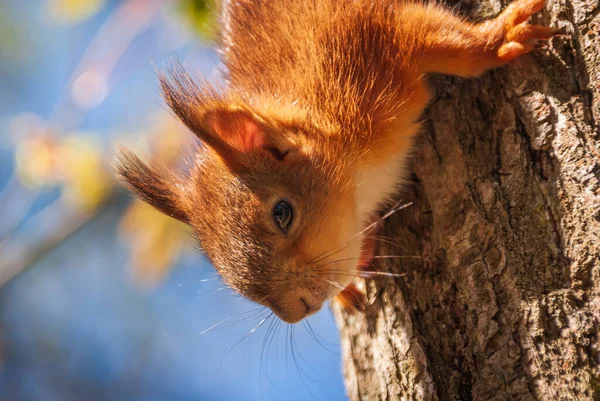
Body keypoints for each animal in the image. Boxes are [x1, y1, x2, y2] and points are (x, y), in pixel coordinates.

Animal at [116, 0, 564, 322]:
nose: (298, 311)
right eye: (216, 265)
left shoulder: (366, 42)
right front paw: (351, 283)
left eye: (282, 212)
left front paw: (498, 38)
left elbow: (446, 41)